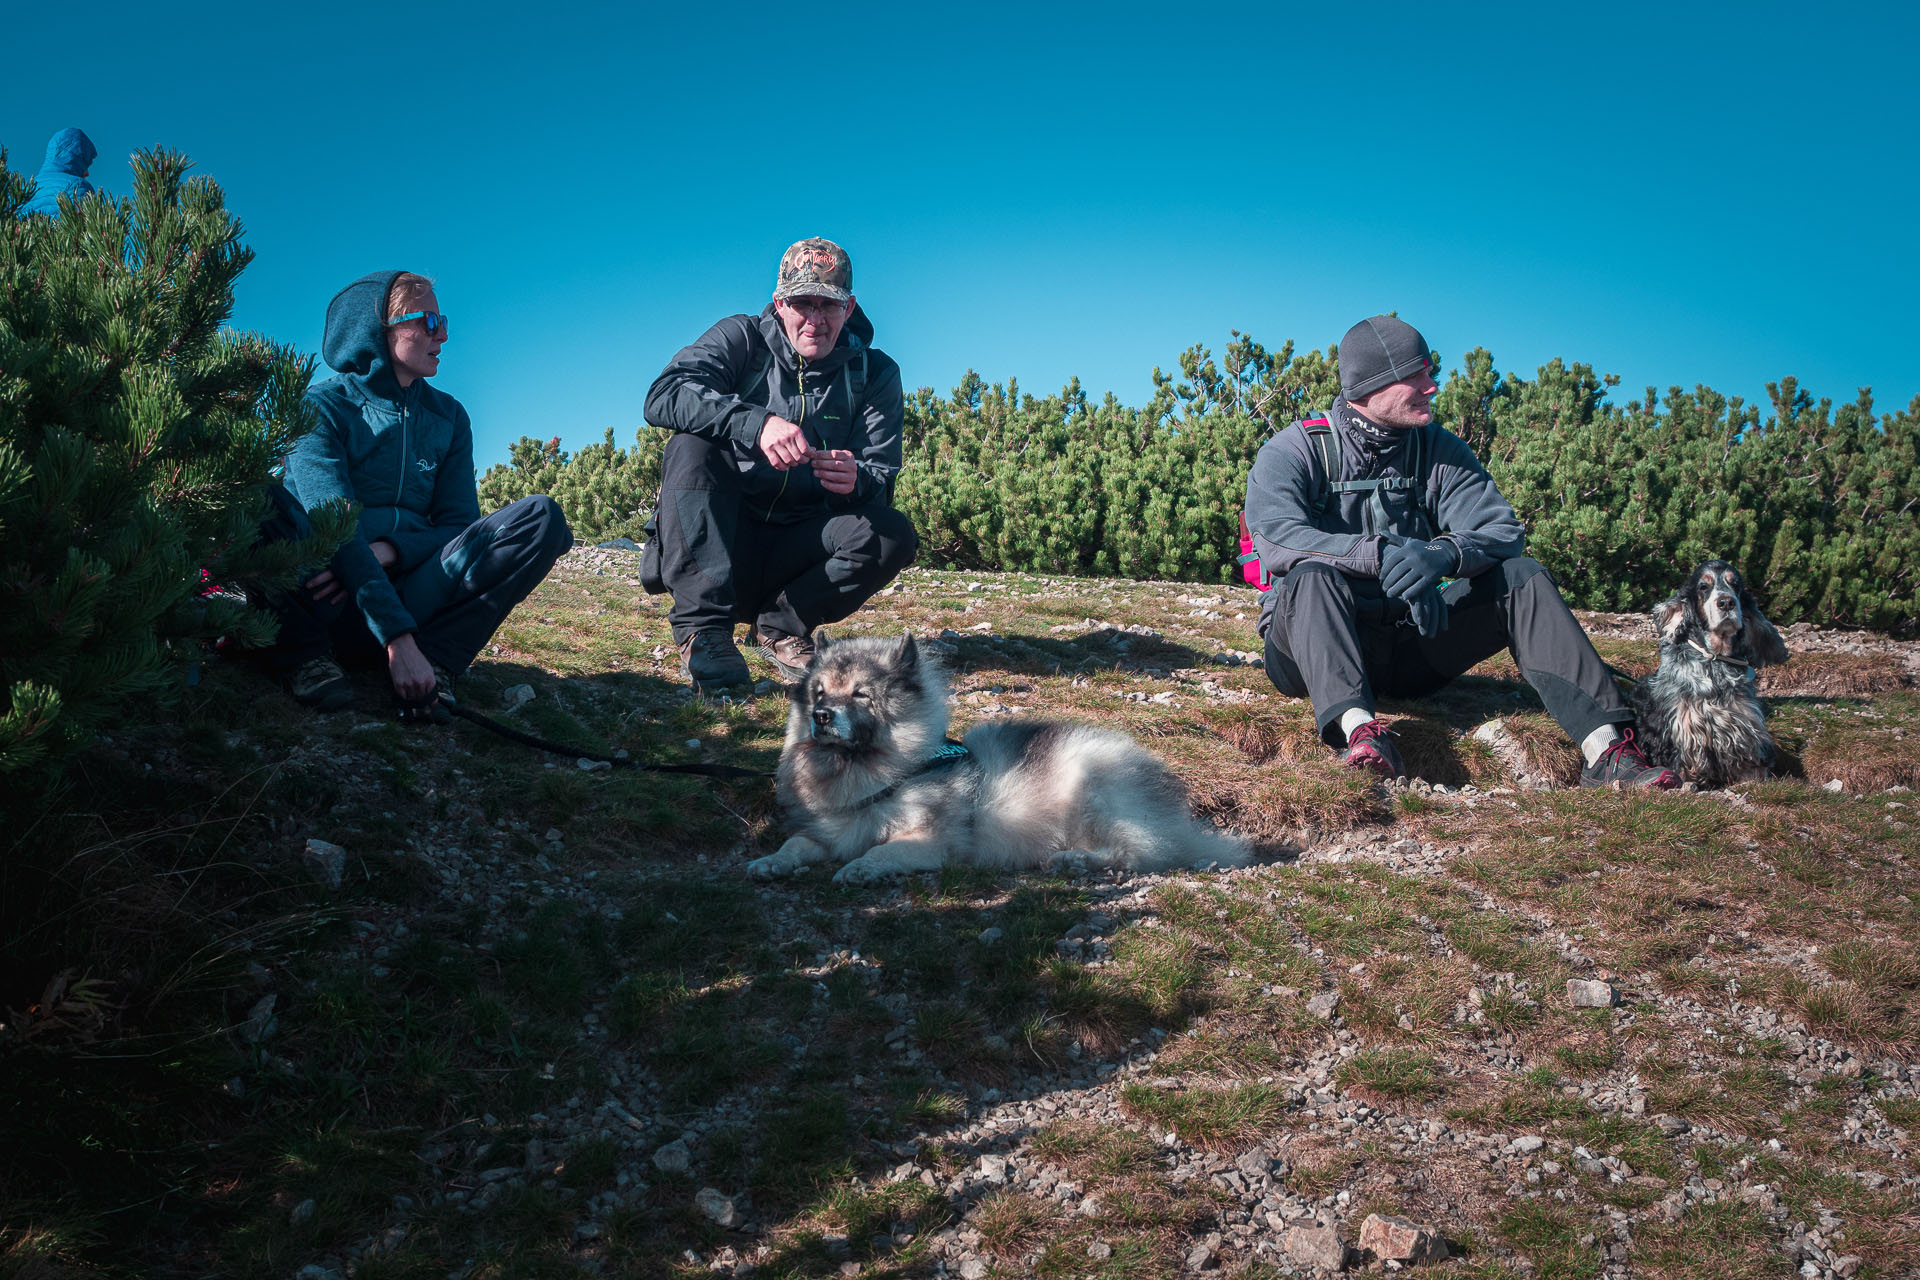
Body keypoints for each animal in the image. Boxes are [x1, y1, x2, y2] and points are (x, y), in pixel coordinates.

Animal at [741, 637, 1251, 886]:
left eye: (861, 695)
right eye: (819, 693)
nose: (822, 717)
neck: (882, 776)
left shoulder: (931, 841)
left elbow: (881, 851)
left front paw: (861, 870)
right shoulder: (828, 833)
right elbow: (796, 845)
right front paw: (770, 862)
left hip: (1091, 786)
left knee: (1139, 853)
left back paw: (1075, 860)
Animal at [1628, 564, 1789, 786]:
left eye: (1735, 584)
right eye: (1704, 586)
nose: (1726, 602)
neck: (1714, 661)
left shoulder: (1747, 731)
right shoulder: (1682, 733)